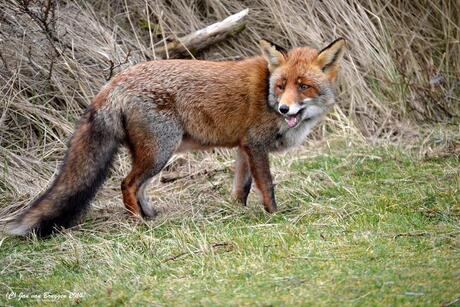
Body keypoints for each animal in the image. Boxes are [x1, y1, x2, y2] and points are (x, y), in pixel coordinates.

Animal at [7, 38, 344, 236]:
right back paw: (138, 225)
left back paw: (150, 216)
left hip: (152, 154)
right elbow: (268, 186)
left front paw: (238, 212)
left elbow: (242, 187)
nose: (284, 107)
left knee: (138, 187)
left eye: (303, 86)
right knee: (126, 184)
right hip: (160, 152)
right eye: (281, 86)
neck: (266, 93)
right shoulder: (256, 145)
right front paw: (274, 215)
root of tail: (112, 83)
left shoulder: (243, 147)